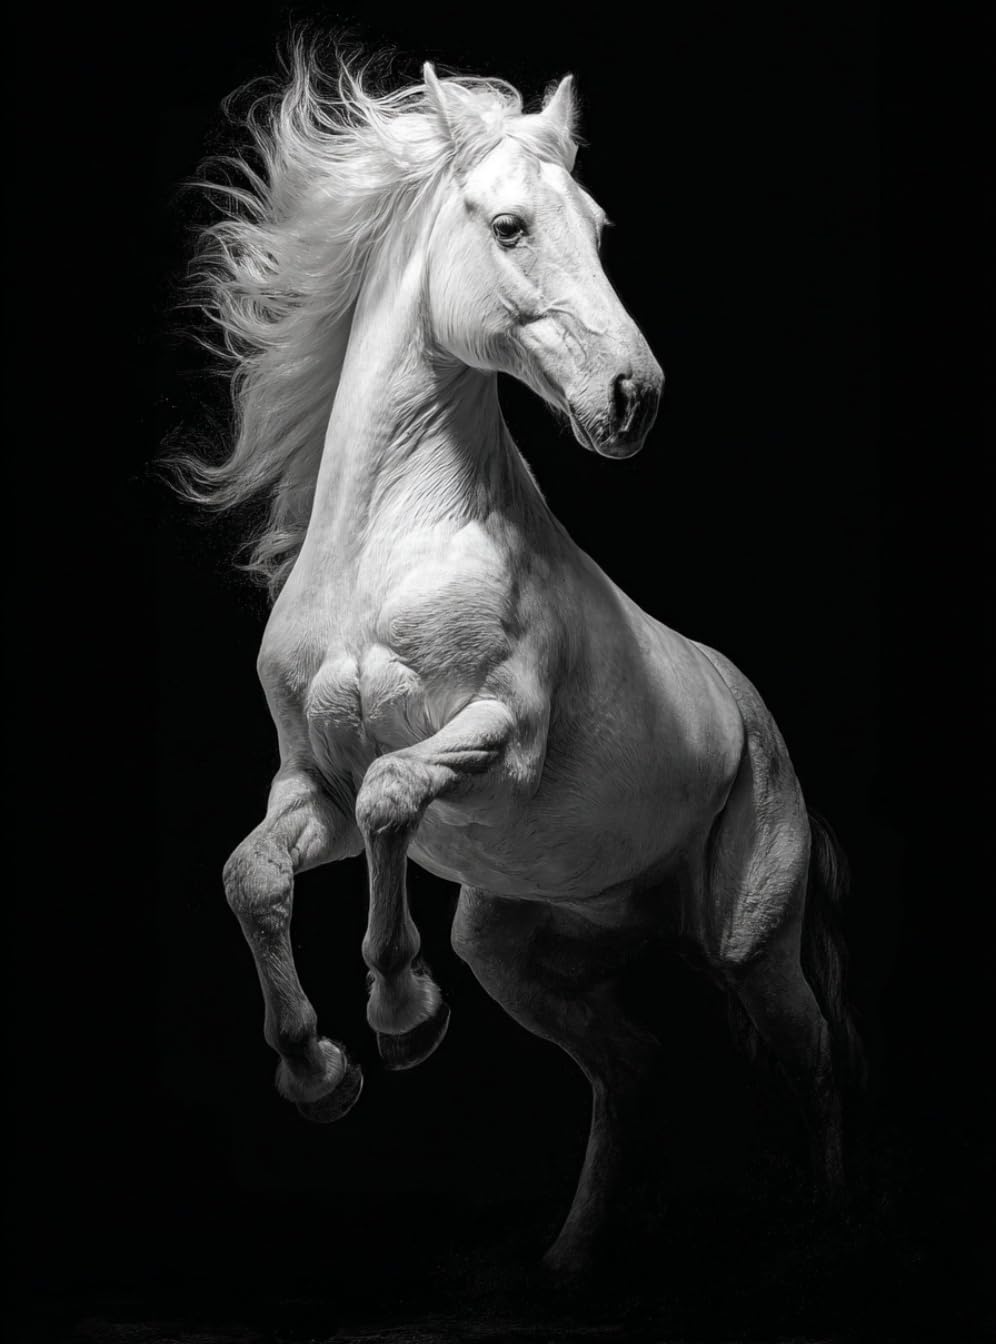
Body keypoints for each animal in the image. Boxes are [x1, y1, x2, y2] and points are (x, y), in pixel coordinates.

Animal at [175, 47, 862, 1276]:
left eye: (597, 225)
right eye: (508, 226)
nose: (634, 400)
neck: (385, 557)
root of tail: (759, 726)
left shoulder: (502, 739)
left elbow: (398, 789)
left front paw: (401, 1014)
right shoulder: (312, 790)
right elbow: (252, 872)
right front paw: (320, 1071)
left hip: (752, 946)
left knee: (813, 1058)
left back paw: (825, 1238)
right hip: (515, 950)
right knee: (632, 1069)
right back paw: (570, 1261)